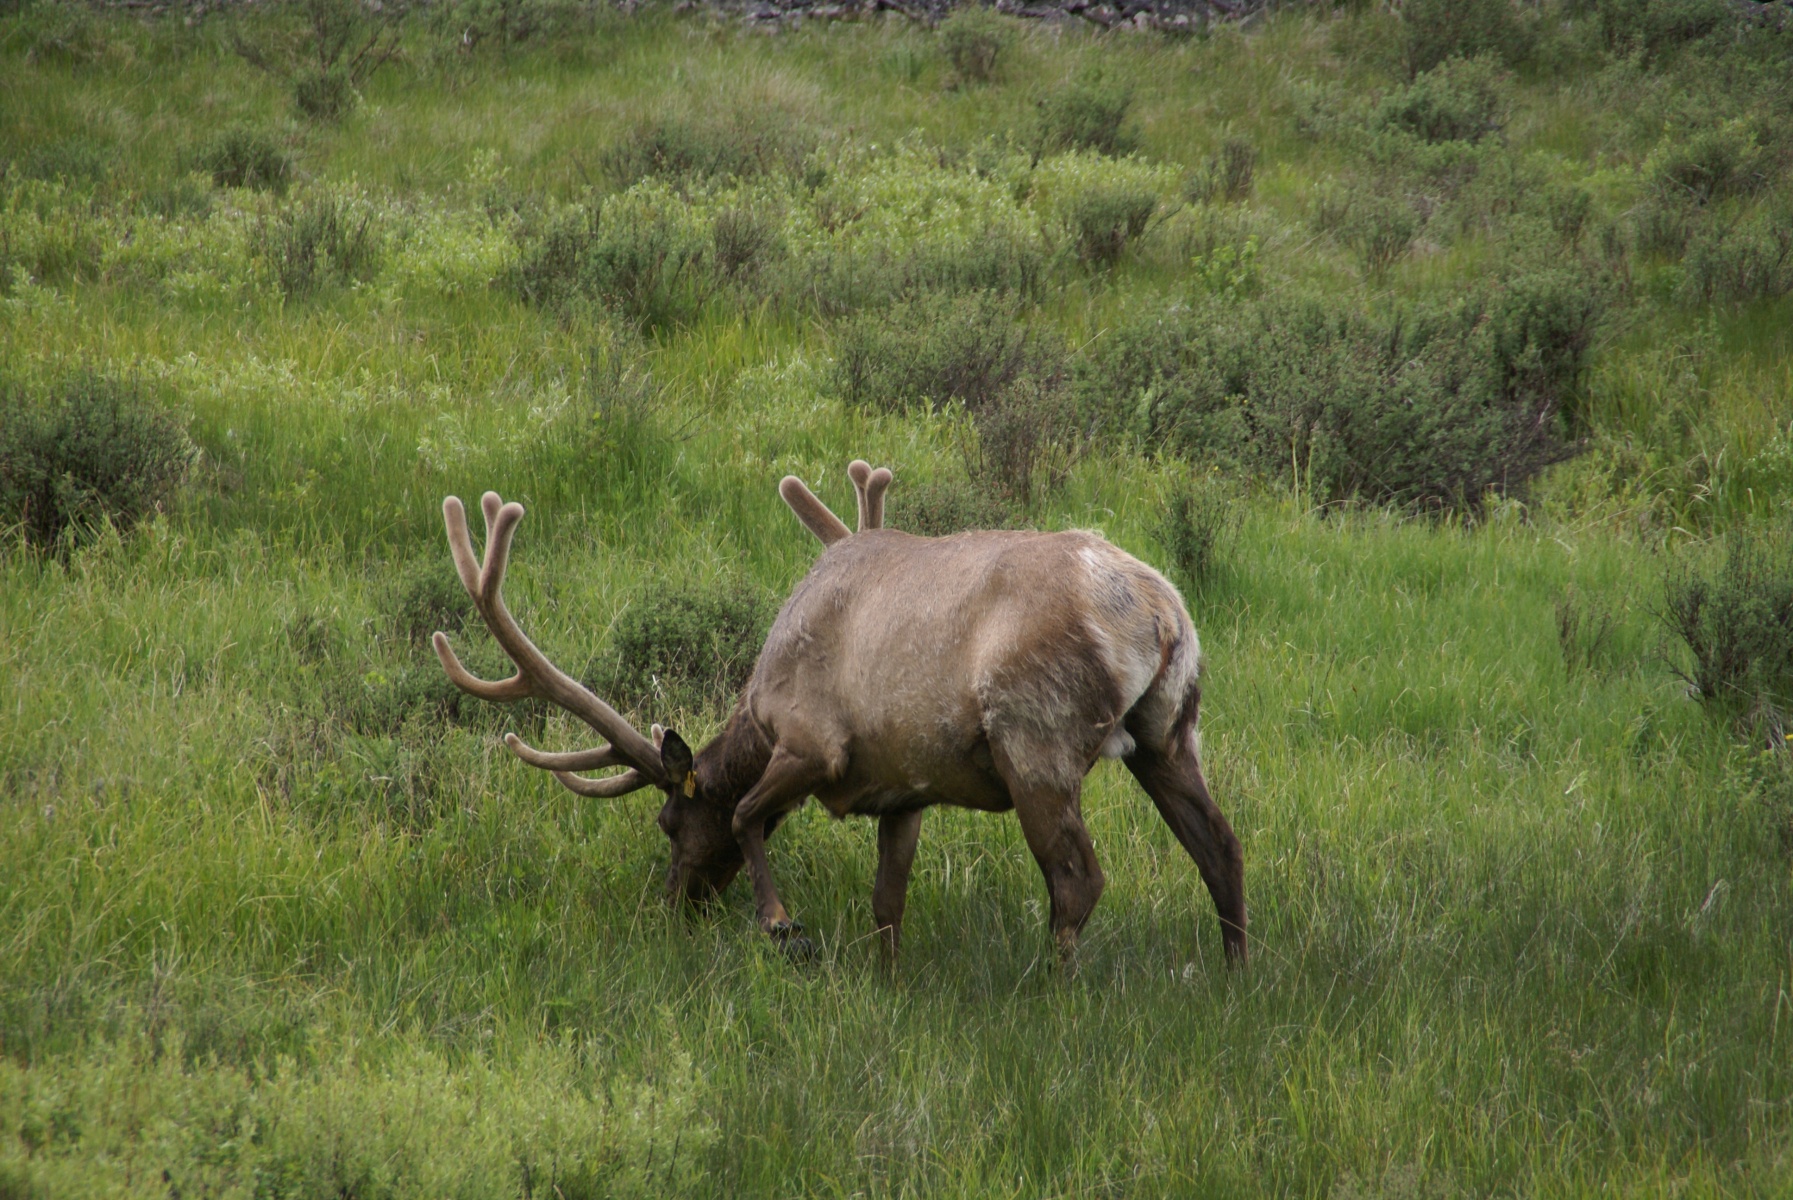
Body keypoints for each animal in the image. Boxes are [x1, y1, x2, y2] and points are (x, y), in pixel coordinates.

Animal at [431, 464, 1246, 965]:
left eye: (668, 821)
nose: (674, 903)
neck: (757, 708)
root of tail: (1161, 613)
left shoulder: (813, 744)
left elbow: (745, 814)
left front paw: (780, 923)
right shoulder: (906, 787)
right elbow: (887, 901)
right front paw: (886, 981)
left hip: (1035, 737)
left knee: (1078, 879)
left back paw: (1053, 990)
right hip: (1171, 728)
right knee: (1221, 847)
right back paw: (1233, 976)